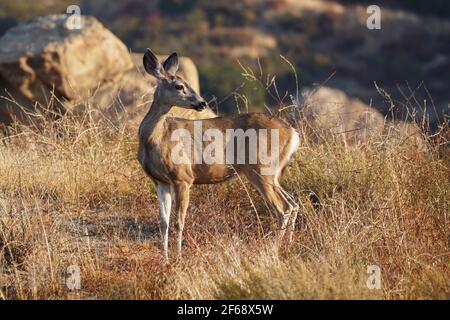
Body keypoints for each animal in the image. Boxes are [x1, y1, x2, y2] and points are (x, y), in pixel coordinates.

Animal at [137, 50, 298, 260]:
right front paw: (164, 258)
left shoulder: (183, 177)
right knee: (293, 204)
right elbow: (163, 222)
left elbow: (179, 221)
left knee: (282, 209)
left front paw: (178, 257)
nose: (202, 103)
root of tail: (293, 133)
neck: (154, 138)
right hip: (272, 174)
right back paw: (287, 246)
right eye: (179, 85)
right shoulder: (160, 181)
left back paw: (273, 249)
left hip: (262, 169)